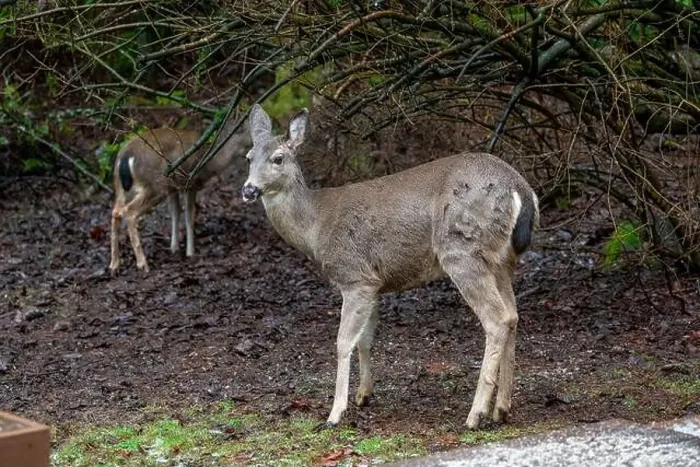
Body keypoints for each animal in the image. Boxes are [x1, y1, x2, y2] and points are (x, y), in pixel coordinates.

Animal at [109, 118, 252, 273]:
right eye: (250, 132)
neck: (210, 163)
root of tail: (125, 156)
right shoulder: (191, 182)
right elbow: (189, 214)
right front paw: (190, 252)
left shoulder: (172, 187)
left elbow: (175, 212)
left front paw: (174, 248)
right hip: (154, 186)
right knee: (129, 213)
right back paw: (142, 264)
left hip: (121, 185)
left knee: (115, 211)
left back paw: (114, 264)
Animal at [241, 104, 539, 430]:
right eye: (249, 157)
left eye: (278, 158)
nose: (249, 190)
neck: (316, 227)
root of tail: (521, 190)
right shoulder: (374, 282)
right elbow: (365, 339)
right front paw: (364, 394)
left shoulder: (354, 275)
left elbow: (344, 341)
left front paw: (335, 412)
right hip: (501, 260)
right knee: (512, 315)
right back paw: (502, 408)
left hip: (462, 250)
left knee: (497, 318)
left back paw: (475, 414)